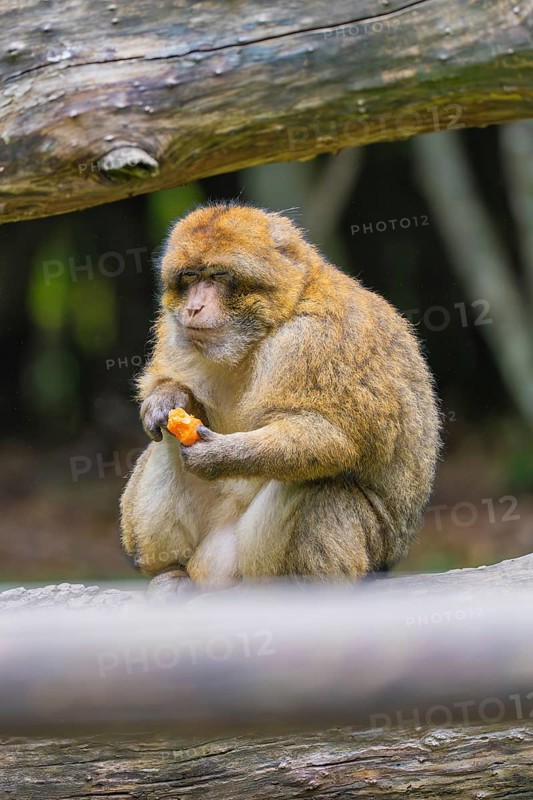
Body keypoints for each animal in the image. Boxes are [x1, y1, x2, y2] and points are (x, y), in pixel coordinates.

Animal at [120, 202, 441, 593]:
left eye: (218, 276)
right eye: (191, 277)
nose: (193, 308)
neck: (269, 326)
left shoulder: (313, 338)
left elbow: (328, 437)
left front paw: (220, 455)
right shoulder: (173, 325)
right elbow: (173, 404)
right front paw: (166, 399)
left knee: (320, 485)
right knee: (167, 443)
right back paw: (172, 572)